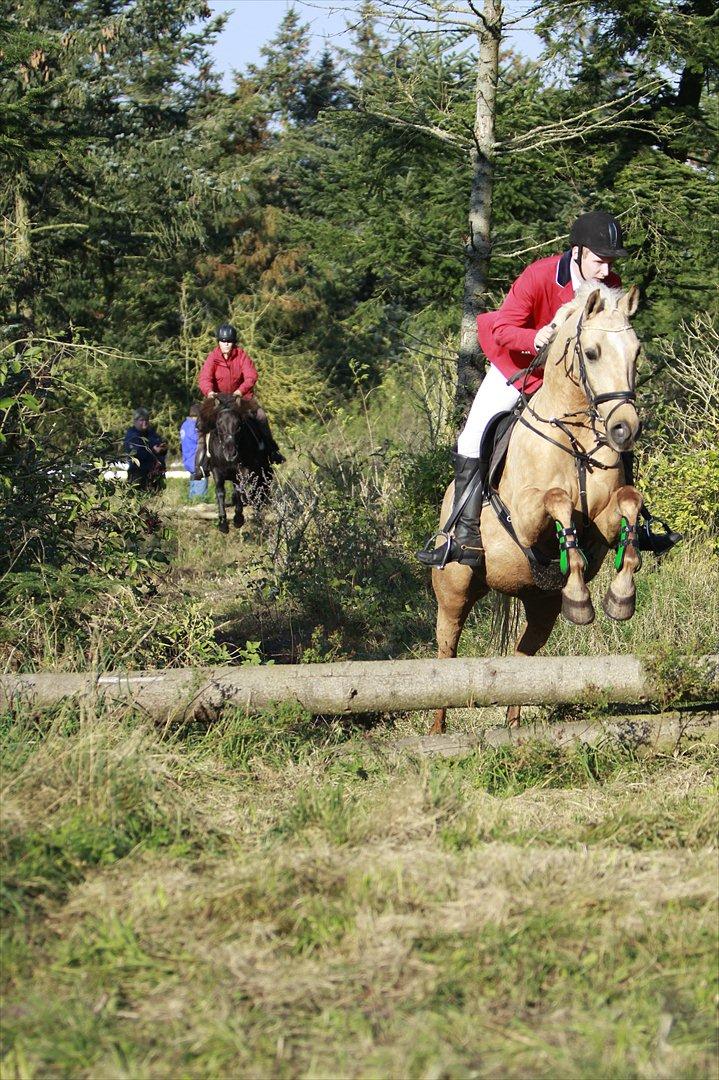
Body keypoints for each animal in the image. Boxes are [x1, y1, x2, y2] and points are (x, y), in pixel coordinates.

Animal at [198, 395, 274, 533]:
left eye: (238, 424)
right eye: (218, 424)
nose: (231, 453)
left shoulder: (243, 470)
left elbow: (240, 490)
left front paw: (238, 519)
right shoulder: (216, 470)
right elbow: (220, 492)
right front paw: (222, 522)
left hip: (264, 472)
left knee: (260, 489)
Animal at [427, 278, 639, 734]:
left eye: (636, 351)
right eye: (591, 353)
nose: (624, 429)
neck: (576, 438)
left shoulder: (605, 521)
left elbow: (630, 503)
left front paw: (617, 597)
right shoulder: (524, 520)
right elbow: (557, 501)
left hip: (541, 602)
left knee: (523, 659)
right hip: (454, 588)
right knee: (445, 653)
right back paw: (436, 729)